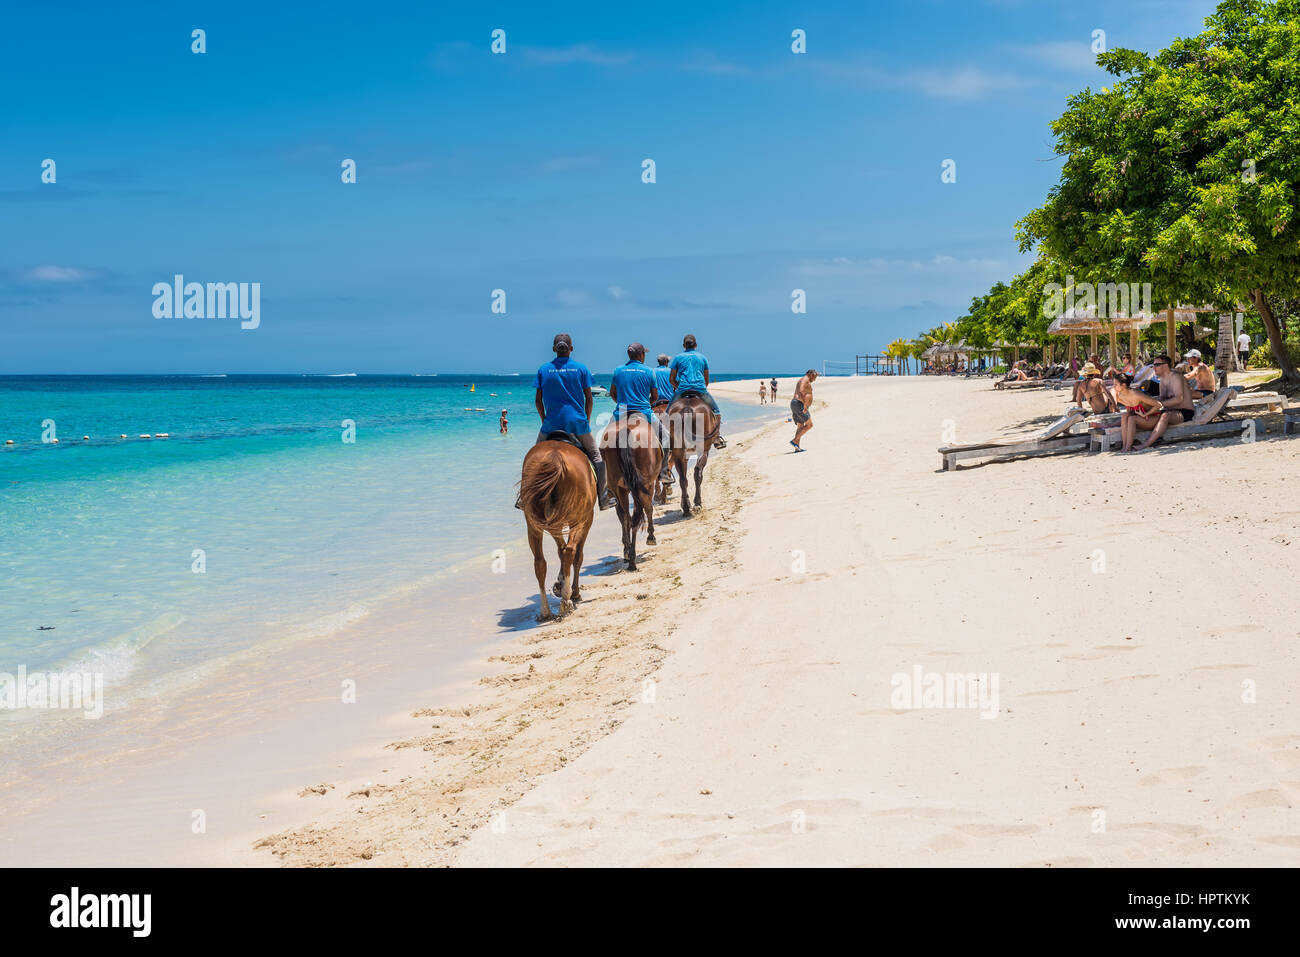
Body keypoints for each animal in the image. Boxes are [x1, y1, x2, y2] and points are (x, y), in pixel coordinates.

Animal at [518, 438, 597, 620]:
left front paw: (559, 584)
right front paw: (571, 591)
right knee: (571, 552)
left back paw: (545, 610)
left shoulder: (555, 523)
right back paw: (567, 601)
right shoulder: (587, 519)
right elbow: (576, 555)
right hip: (579, 519)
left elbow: (559, 551)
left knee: (540, 562)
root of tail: (555, 456)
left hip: (534, 524)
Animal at [600, 414, 662, 571]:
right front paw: (651, 536)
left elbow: (622, 516)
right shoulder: (647, 485)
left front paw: (626, 549)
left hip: (619, 488)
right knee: (639, 513)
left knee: (627, 517)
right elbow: (648, 509)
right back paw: (635, 555)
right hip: (643, 484)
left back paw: (629, 554)